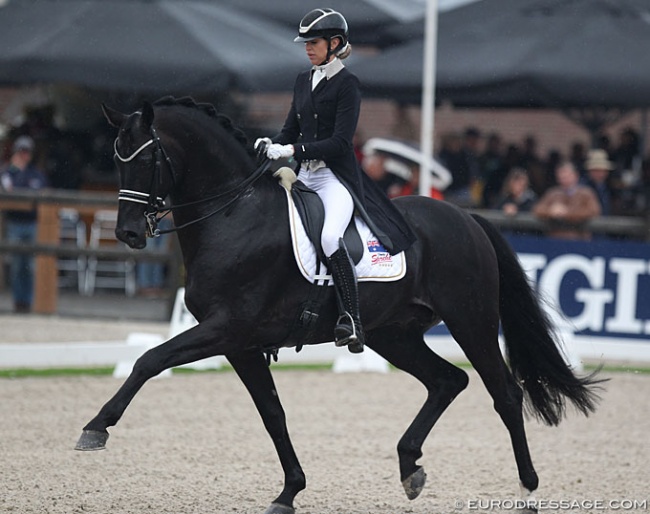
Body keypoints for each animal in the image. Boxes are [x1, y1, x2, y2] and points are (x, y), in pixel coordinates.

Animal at [77, 97, 604, 512]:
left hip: (470, 321)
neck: (235, 214)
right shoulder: (240, 344)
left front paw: (96, 428)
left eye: (148, 159)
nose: (127, 233)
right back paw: (409, 467)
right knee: (447, 381)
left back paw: (527, 489)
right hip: (394, 334)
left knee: (505, 394)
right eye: (117, 160)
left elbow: (149, 360)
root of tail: (465, 217)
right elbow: (273, 414)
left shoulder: (226, 328)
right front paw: (289, 492)